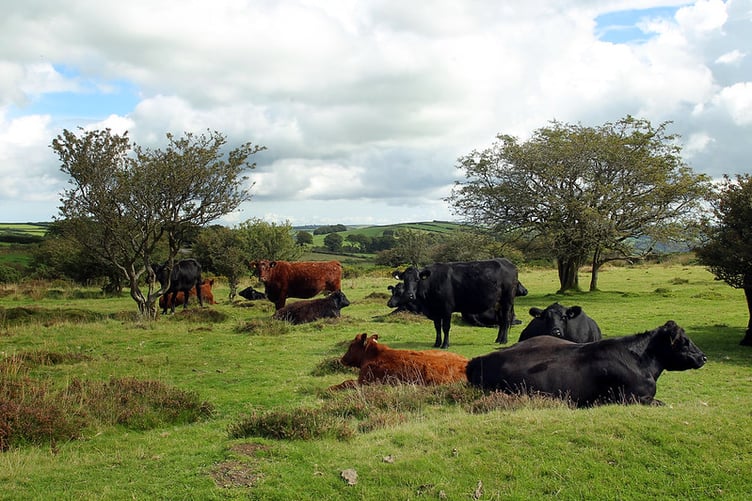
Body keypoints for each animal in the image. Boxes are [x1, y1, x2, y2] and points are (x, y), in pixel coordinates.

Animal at [330, 333, 468, 390]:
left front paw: (331, 388)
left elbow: (346, 382)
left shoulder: (364, 381)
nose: (342, 359)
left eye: (351, 346)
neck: (374, 355)